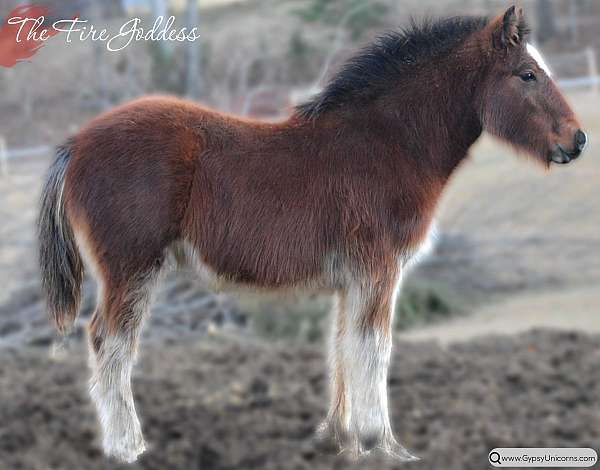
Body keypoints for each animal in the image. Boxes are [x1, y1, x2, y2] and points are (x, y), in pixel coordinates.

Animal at [37, 6, 584, 462]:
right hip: (132, 270)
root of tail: (77, 143)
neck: (388, 143)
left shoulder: (351, 278)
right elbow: (374, 348)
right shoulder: (378, 269)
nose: (577, 140)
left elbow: (341, 348)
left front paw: (340, 439)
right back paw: (126, 448)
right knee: (110, 343)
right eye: (527, 74)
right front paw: (383, 444)